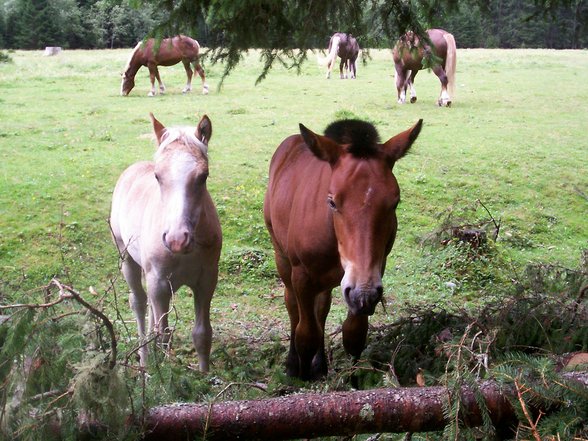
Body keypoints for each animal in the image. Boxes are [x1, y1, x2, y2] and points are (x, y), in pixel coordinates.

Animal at [109, 111, 222, 370]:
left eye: (203, 176)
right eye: (158, 176)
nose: (177, 239)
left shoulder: (206, 280)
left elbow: (202, 334)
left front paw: (204, 374)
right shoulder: (159, 282)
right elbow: (164, 334)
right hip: (127, 258)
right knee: (139, 302)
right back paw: (143, 360)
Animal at [262, 118, 422, 380]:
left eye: (395, 202)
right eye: (332, 201)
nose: (362, 292)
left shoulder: (371, 275)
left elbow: (353, 334)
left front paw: (352, 380)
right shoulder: (302, 277)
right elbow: (306, 334)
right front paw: (302, 378)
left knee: (322, 308)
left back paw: (320, 364)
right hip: (282, 258)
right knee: (292, 306)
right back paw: (293, 363)